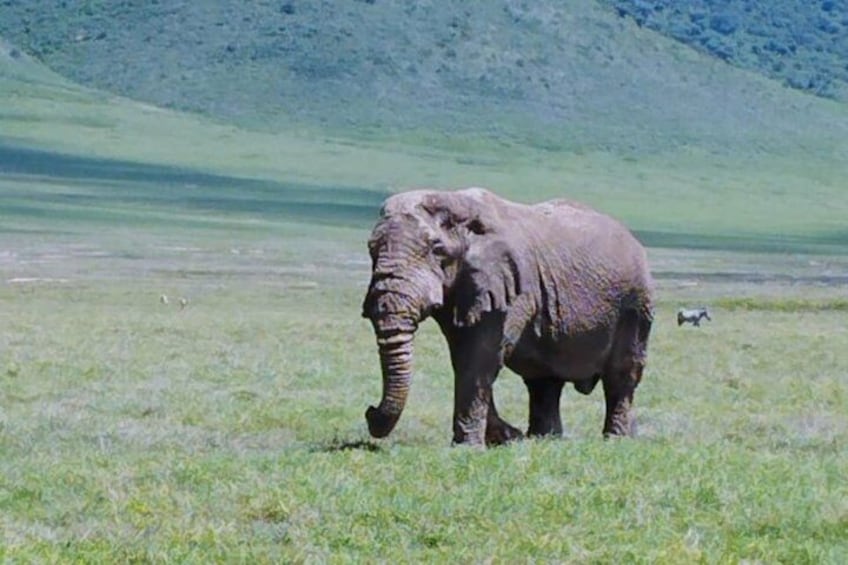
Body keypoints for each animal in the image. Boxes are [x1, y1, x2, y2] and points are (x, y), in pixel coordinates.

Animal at [361, 187, 654, 447]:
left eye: (436, 250)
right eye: (371, 249)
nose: (369, 410)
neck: (456, 204)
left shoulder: (509, 285)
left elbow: (480, 357)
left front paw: (469, 447)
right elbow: (464, 357)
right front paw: (504, 437)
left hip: (636, 303)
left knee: (622, 375)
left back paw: (614, 440)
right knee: (543, 381)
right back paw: (544, 440)